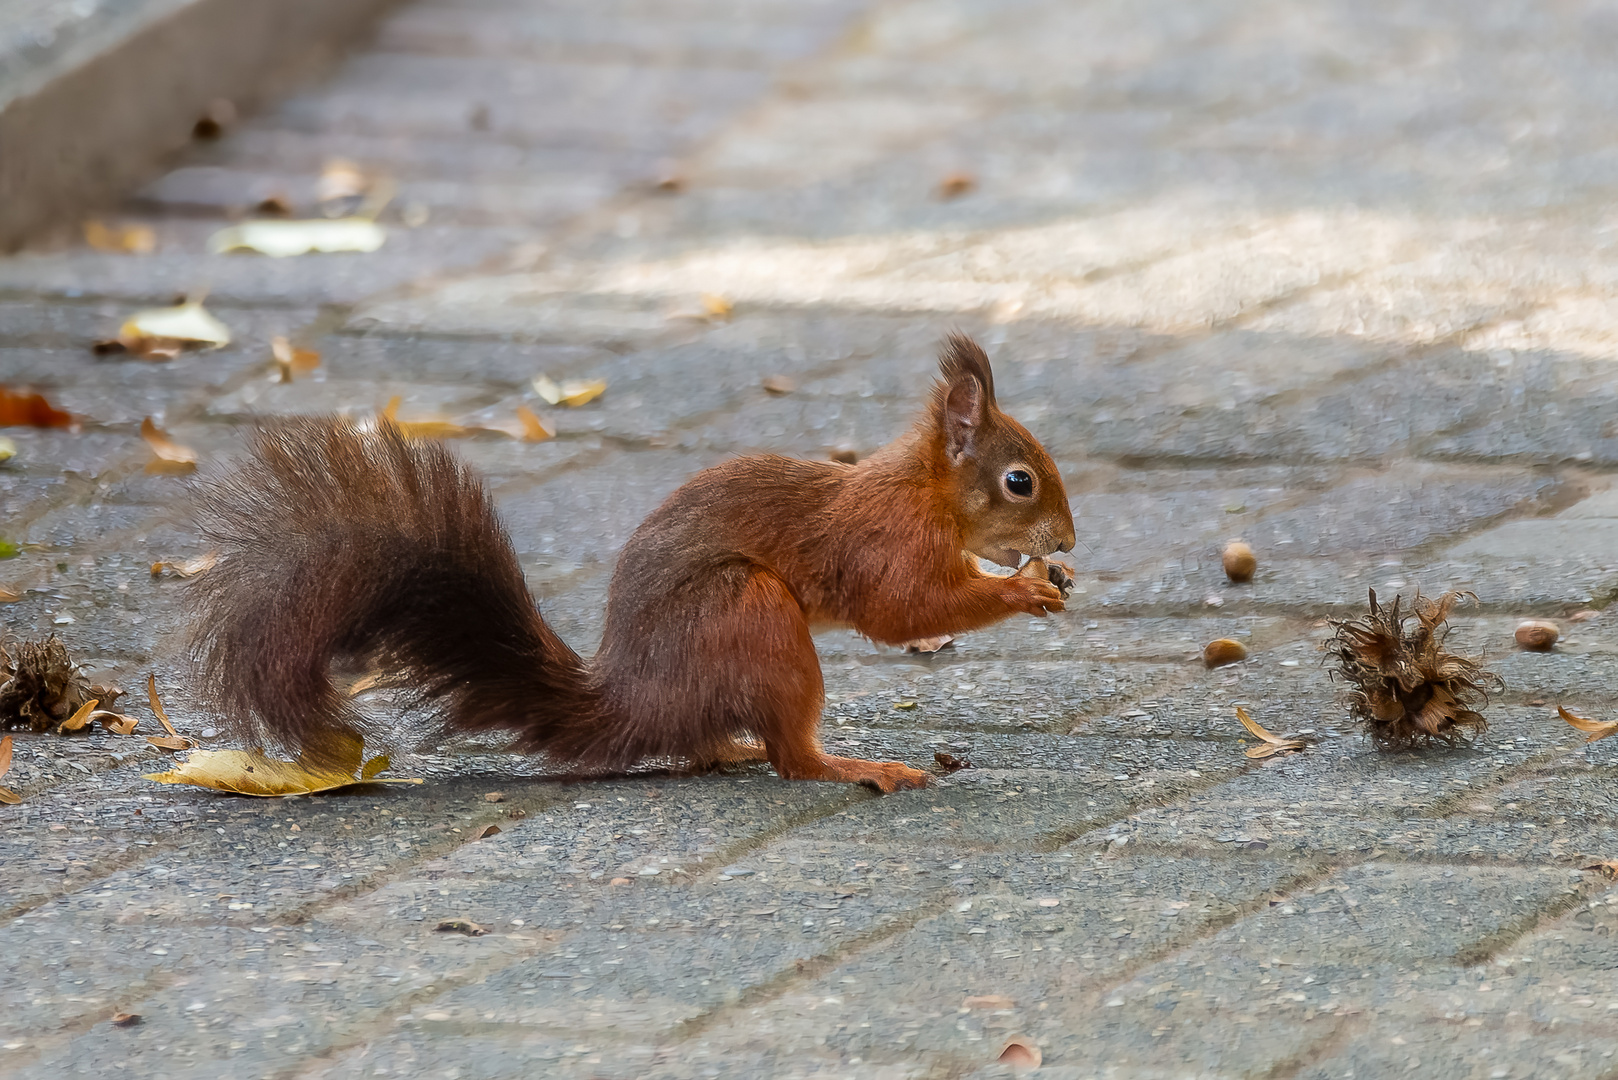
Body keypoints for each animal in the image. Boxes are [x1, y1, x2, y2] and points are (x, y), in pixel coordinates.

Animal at [189, 335, 1074, 793]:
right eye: (1019, 481)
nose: (1066, 543)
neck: (925, 491)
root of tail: (637, 698)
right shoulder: (885, 542)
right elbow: (903, 610)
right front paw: (1024, 589)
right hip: (748, 612)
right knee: (793, 760)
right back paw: (856, 766)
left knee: (716, 747)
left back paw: (738, 750)